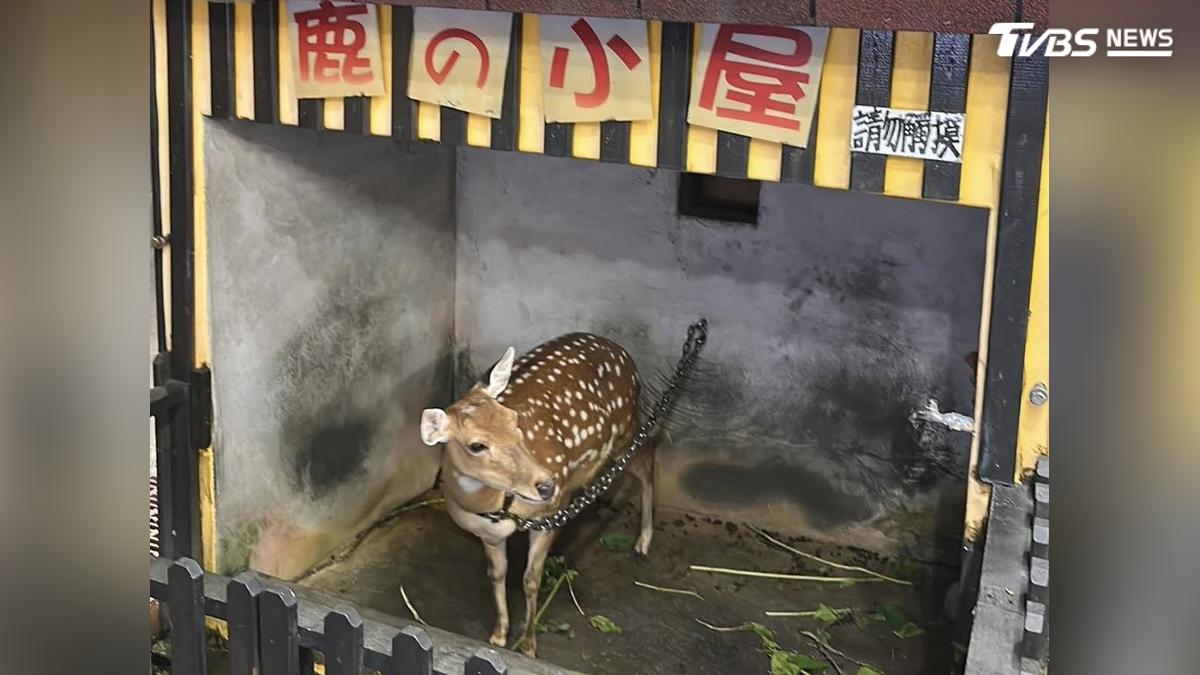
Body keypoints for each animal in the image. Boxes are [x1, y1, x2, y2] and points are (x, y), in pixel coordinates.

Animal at [420, 332, 651, 657]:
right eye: (476, 445)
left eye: (513, 418)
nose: (546, 485)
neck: (498, 507)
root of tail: (624, 353)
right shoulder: (488, 534)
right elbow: (497, 573)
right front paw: (499, 634)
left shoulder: (547, 516)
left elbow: (531, 579)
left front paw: (528, 645)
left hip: (625, 427)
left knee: (647, 457)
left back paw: (643, 542)